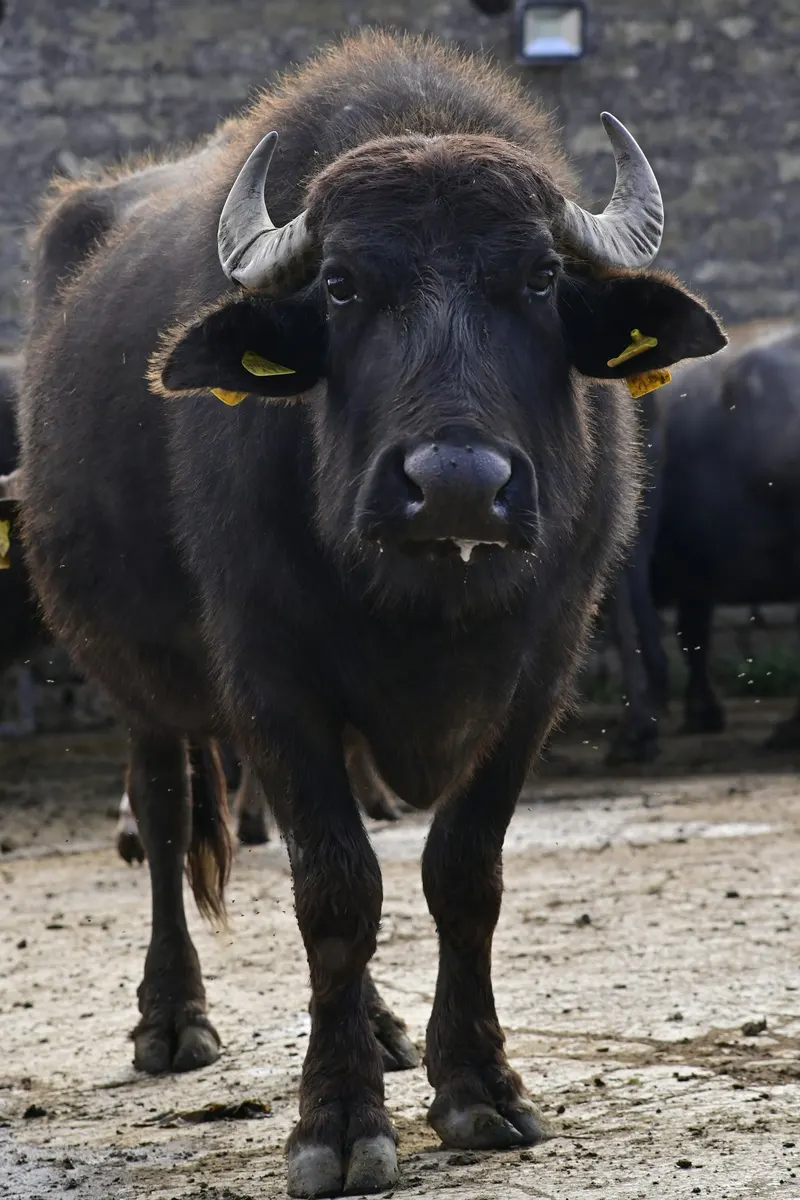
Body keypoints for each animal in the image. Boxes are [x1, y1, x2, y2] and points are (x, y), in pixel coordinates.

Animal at [20, 32, 725, 1197]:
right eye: (344, 286)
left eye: (539, 277)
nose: (455, 486)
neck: (427, 598)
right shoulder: (269, 675)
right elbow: (336, 892)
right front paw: (339, 1122)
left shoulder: (538, 670)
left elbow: (462, 872)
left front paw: (477, 1086)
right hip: (134, 678)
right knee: (163, 820)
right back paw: (173, 1020)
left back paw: (387, 1029)